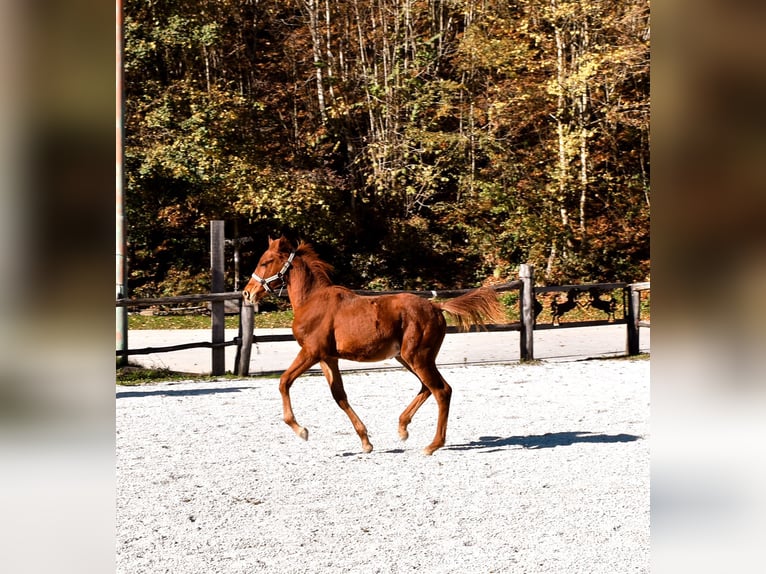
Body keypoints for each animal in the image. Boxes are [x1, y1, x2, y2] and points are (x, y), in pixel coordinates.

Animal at [240, 236, 504, 456]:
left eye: (266, 262)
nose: (247, 293)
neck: (312, 301)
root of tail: (437, 307)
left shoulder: (311, 352)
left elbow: (284, 382)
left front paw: (301, 430)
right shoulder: (328, 358)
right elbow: (339, 395)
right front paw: (366, 442)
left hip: (417, 357)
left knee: (441, 390)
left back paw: (432, 445)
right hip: (407, 358)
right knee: (428, 387)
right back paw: (403, 428)